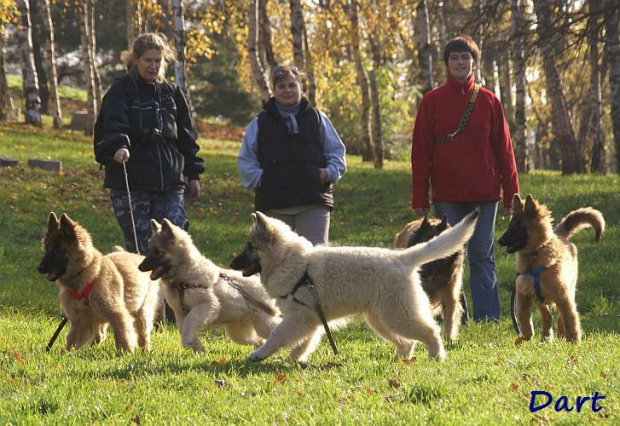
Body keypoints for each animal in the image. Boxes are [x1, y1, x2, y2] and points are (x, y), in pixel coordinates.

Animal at [139, 220, 280, 352]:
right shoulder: (180, 313)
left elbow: (189, 323)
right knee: (259, 340)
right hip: (238, 332)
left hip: (263, 322)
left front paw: (188, 341)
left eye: (158, 251)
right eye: (149, 250)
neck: (184, 278)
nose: (140, 267)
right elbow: (183, 327)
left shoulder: (206, 305)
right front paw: (197, 346)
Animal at [230, 210, 478, 362]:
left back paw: (436, 357)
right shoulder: (311, 319)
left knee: (430, 332)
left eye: (250, 246)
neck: (292, 262)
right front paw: (293, 359)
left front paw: (260, 354)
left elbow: (277, 335)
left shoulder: (299, 317)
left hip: (397, 315)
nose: (231, 264)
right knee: (407, 343)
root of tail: (402, 258)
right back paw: (399, 361)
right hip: (380, 319)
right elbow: (303, 343)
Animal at [498, 195, 604, 344]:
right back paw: (546, 337)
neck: (534, 257)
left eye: (519, 226)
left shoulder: (563, 296)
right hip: (539, 299)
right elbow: (523, 317)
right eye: (509, 225)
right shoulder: (523, 294)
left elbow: (570, 319)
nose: (499, 241)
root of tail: (560, 235)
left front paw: (574, 342)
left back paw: (560, 336)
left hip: (569, 289)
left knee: (560, 317)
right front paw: (525, 337)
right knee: (547, 316)